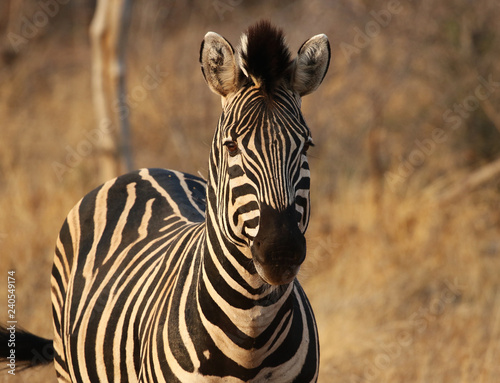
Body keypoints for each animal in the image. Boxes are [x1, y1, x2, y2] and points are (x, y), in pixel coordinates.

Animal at [1, 21, 330, 383]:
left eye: (306, 146)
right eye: (231, 146)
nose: (280, 251)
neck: (250, 334)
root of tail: (142, 171)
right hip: (65, 364)